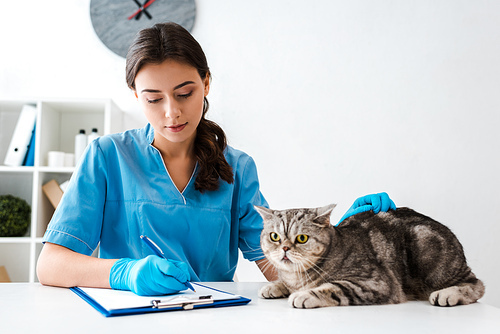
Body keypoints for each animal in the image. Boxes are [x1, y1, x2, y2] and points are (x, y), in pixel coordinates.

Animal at [254, 205, 484, 310]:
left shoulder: (375, 282)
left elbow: (333, 287)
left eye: (301, 238)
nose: (284, 248)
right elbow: (284, 282)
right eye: (274, 236)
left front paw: (304, 295)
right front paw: (275, 286)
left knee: (476, 284)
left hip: (426, 245)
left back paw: (448, 294)